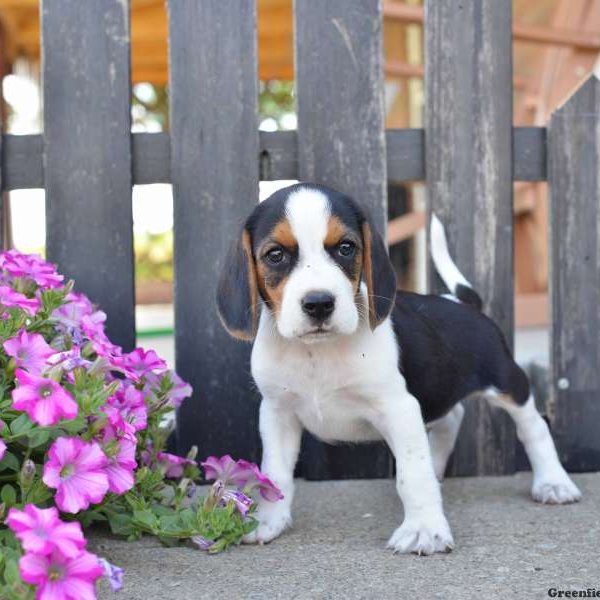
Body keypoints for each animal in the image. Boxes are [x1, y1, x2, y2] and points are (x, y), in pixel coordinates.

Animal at [217, 182, 580, 552]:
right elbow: (274, 475)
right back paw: (439, 467)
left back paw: (553, 482)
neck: (316, 353)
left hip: (507, 381)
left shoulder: (399, 408)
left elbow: (412, 475)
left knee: (534, 427)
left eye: (346, 248)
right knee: (452, 417)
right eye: (275, 255)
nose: (319, 303)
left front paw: (424, 529)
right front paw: (267, 521)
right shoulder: (278, 412)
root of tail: (462, 302)